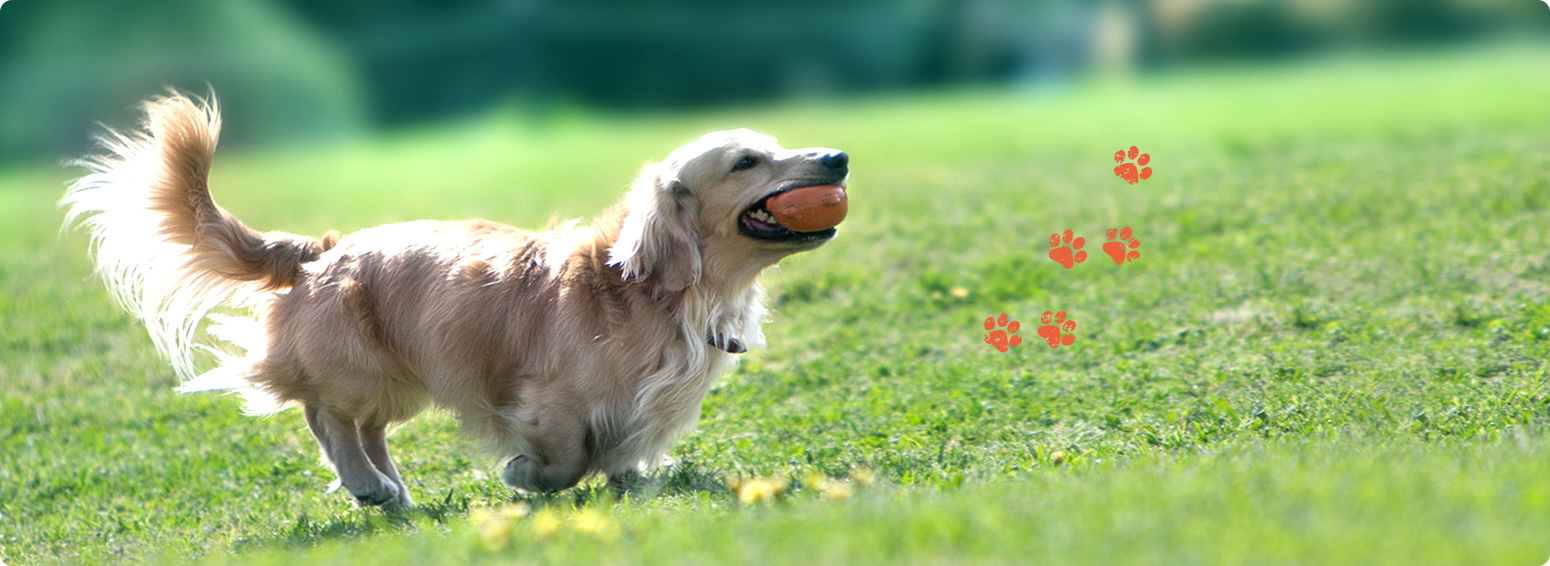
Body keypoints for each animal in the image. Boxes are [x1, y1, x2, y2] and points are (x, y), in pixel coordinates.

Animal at [63, 92, 849, 508]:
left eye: (776, 144)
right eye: (747, 161)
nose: (839, 158)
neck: (650, 292)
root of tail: (320, 252)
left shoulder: (643, 409)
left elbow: (624, 456)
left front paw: (629, 482)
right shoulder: (546, 402)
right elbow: (565, 459)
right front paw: (523, 475)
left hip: (402, 379)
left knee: (365, 427)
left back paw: (389, 486)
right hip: (358, 369)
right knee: (326, 416)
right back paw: (367, 485)